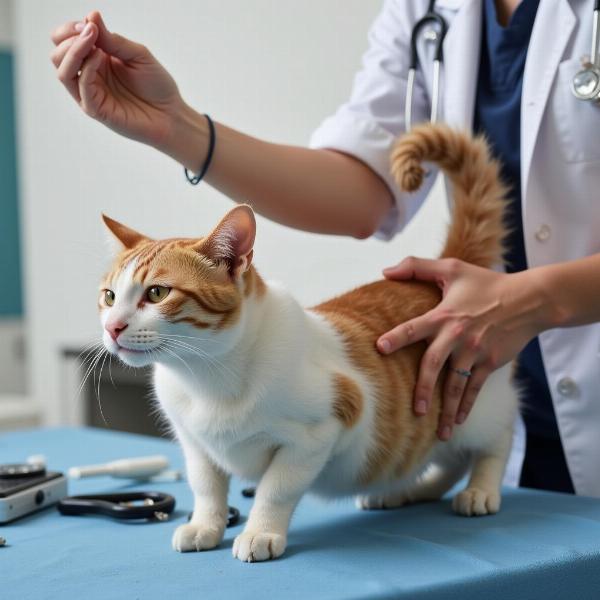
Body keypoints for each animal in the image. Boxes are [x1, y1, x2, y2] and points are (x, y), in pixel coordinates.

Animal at [98, 123, 516, 564]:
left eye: (157, 293)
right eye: (109, 296)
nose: (113, 328)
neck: (206, 377)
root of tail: (446, 273)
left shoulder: (322, 428)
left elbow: (274, 489)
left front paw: (260, 531)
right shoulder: (194, 443)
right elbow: (206, 486)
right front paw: (205, 525)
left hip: (476, 405)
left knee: (495, 438)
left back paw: (479, 490)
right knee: (444, 458)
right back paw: (408, 490)